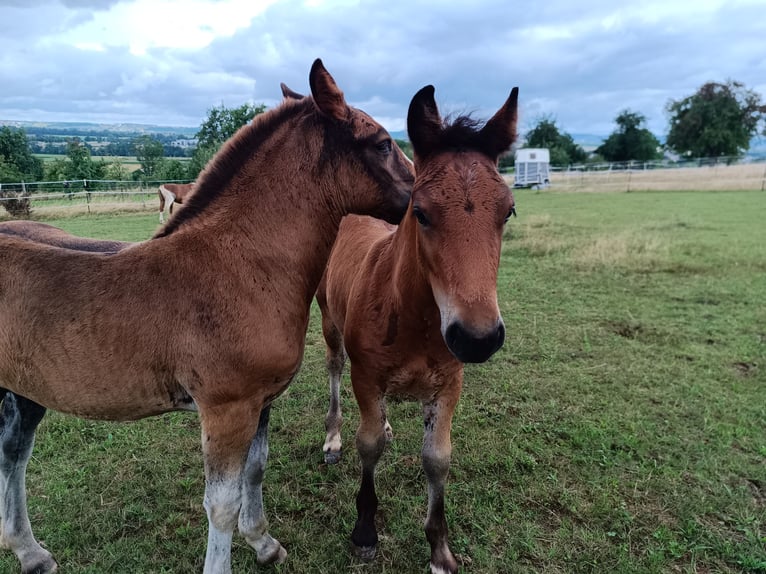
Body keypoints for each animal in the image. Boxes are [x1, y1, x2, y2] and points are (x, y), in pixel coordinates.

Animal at [0, 58, 413, 574]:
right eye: (382, 142)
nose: (423, 196)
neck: (239, 263)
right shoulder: (226, 408)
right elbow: (221, 504)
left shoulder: (260, 401)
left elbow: (254, 472)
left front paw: (263, 542)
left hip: (25, 390)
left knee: (13, 453)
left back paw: (30, 552)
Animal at [315, 84, 518, 574]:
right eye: (421, 213)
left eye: (508, 212)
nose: (477, 338)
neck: (415, 320)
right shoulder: (366, 377)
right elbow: (368, 445)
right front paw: (364, 532)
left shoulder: (449, 385)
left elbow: (437, 459)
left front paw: (440, 549)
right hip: (329, 322)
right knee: (333, 368)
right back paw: (332, 437)